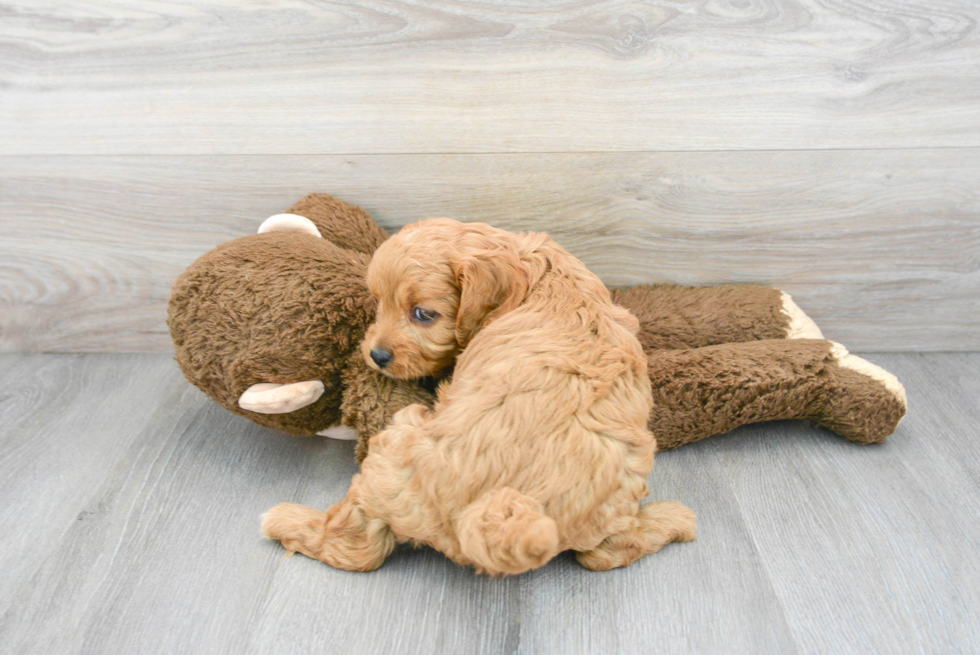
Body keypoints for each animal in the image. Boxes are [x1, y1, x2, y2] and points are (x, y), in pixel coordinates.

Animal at [260, 219, 688, 576]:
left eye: (422, 314)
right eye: (378, 302)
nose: (377, 356)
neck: (528, 268)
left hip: (393, 449)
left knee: (357, 547)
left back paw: (285, 520)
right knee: (606, 553)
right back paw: (673, 519)